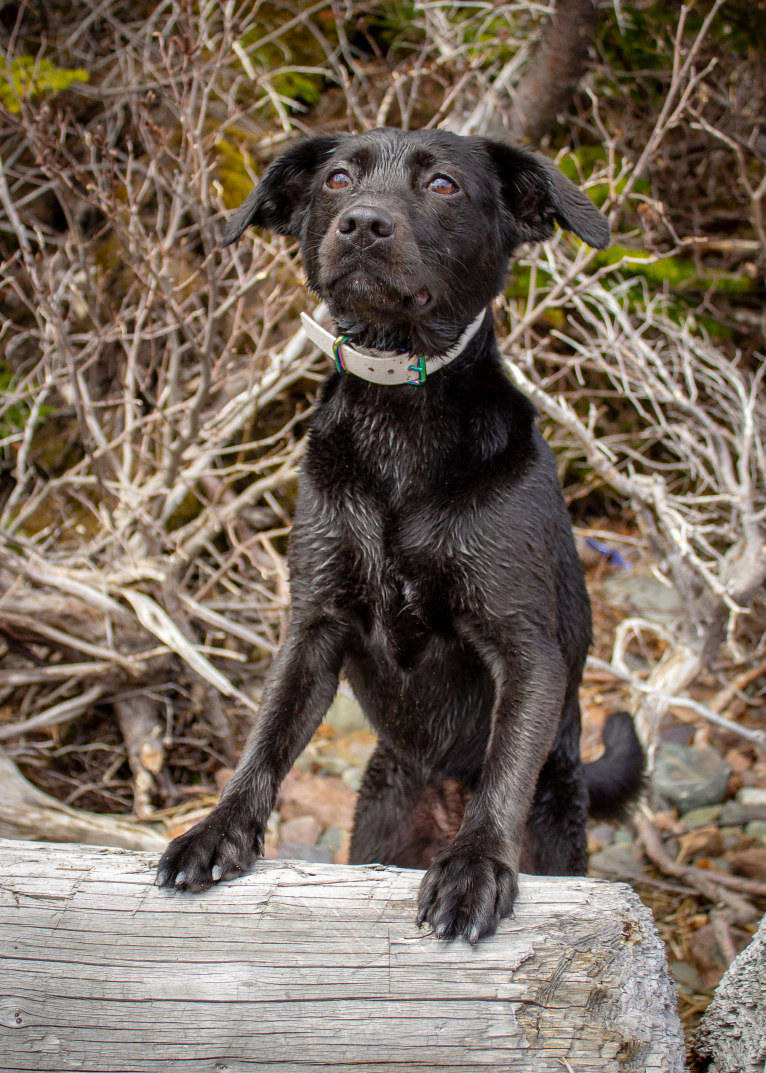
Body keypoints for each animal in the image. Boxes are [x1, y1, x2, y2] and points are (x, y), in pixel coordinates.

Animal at [157, 129, 639, 944]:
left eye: (443, 184)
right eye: (338, 179)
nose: (363, 224)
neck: (403, 415)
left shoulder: (525, 648)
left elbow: (506, 767)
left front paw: (475, 866)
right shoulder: (314, 624)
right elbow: (265, 739)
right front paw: (217, 830)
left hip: (556, 814)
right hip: (378, 817)